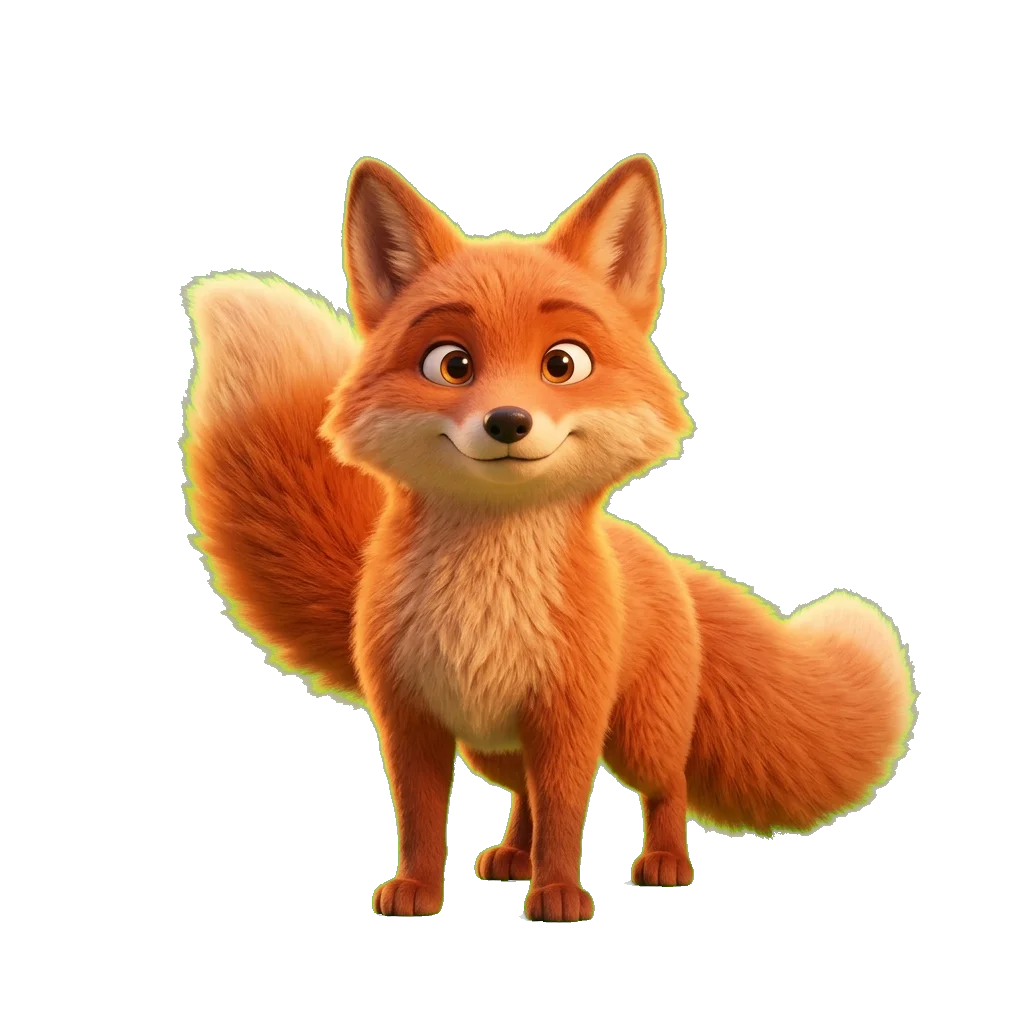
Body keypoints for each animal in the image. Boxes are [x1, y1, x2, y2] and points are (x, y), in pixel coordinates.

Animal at [180, 154, 918, 923]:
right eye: (451, 363)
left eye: (562, 364)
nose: (508, 421)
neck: (485, 603)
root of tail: (660, 557)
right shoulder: (409, 719)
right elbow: (422, 820)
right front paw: (418, 890)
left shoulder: (569, 716)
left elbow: (567, 813)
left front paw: (559, 894)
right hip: (491, 749)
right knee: (523, 795)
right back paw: (512, 857)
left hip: (638, 736)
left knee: (667, 787)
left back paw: (664, 863)